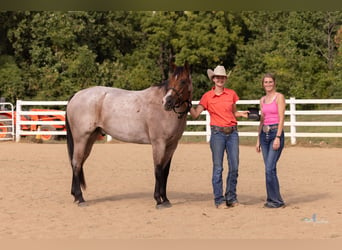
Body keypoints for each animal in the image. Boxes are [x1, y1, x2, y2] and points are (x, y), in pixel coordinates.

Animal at [65, 61, 192, 209]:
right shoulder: (158, 143)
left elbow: (165, 172)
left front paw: (165, 199)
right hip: (81, 139)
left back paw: (75, 195)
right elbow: (158, 170)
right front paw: (158, 200)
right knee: (76, 163)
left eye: (183, 81)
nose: (167, 102)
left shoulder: (172, 145)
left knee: (78, 163)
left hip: (89, 140)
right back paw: (80, 198)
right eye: (171, 80)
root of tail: (76, 95)